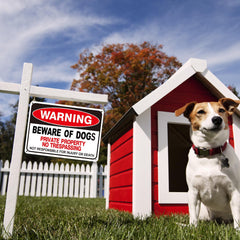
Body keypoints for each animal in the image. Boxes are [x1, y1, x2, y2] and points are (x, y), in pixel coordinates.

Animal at [175, 98, 240, 230]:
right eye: (200, 111)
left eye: (221, 110)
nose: (217, 119)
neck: (210, 151)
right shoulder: (193, 192)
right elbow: (193, 216)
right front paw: (193, 229)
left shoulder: (234, 191)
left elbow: (237, 216)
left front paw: (237, 230)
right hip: (204, 213)